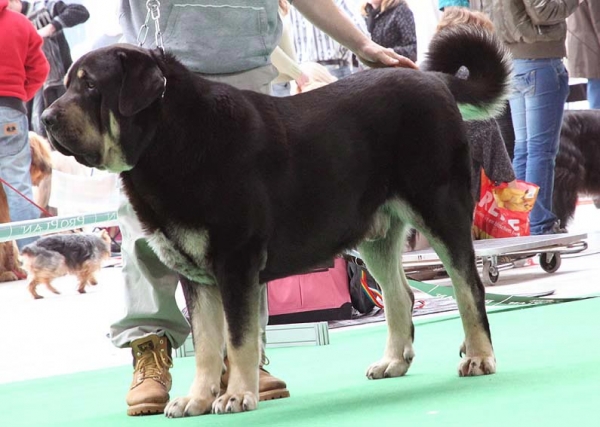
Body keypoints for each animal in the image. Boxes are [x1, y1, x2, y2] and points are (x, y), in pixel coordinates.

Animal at [41, 26, 510, 418]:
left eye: (90, 86)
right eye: (68, 85)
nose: (45, 119)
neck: (168, 141)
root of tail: (436, 81)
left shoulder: (235, 262)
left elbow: (239, 338)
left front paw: (236, 395)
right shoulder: (194, 275)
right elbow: (207, 344)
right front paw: (196, 399)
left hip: (442, 211)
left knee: (469, 288)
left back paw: (479, 356)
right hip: (375, 236)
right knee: (401, 296)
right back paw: (393, 361)